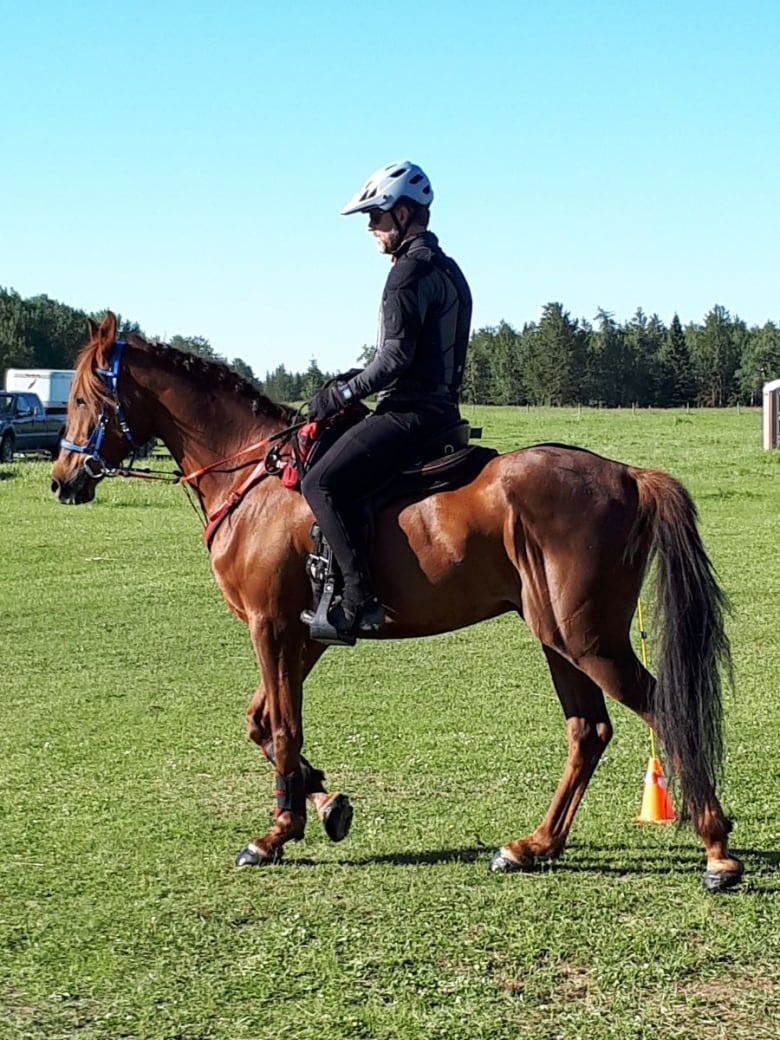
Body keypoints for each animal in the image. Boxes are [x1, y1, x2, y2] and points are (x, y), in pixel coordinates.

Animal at [48, 312, 744, 890]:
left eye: (81, 398)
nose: (62, 480)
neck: (255, 482)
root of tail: (627, 475)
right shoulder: (304, 633)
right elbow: (264, 724)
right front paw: (324, 801)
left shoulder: (270, 627)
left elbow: (284, 725)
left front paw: (277, 833)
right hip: (557, 639)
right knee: (588, 731)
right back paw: (534, 846)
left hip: (587, 639)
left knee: (661, 711)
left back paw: (717, 851)